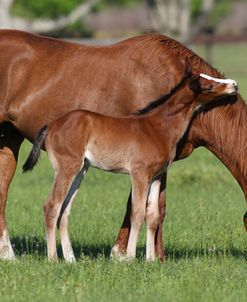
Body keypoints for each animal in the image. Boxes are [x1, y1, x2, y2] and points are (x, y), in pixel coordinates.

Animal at [0, 28, 245, 260]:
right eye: (208, 85)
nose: (234, 84)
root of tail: (51, 126)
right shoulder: (141, 171)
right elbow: (139, 209)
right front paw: (126, 256)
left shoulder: (159, 170)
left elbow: (154, 212)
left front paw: (152, 258)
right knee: (50, 205)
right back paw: (41, 257)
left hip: (20, 143)